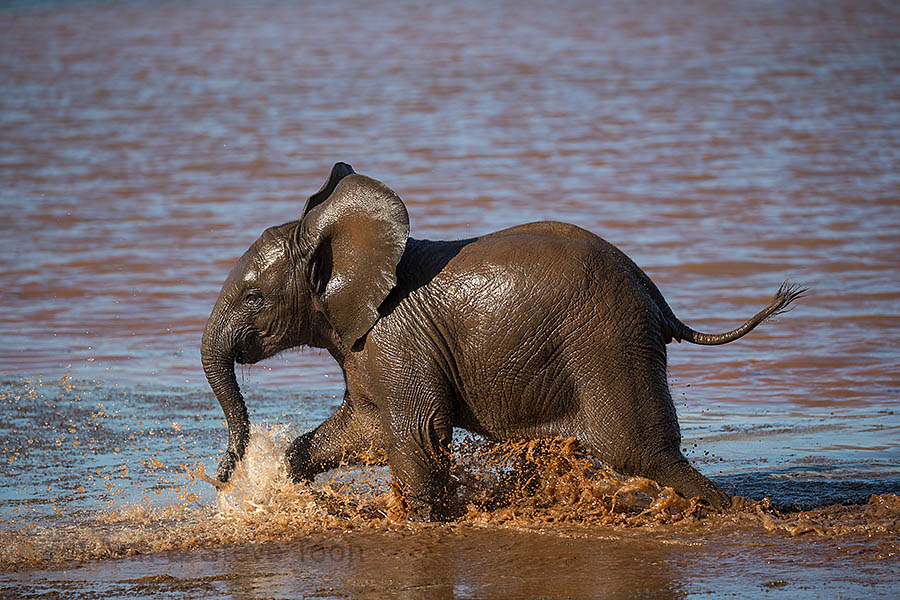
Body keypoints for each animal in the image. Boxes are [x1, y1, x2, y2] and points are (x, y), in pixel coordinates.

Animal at [201, 162, 804, 520]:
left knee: (644, 450)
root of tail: (657, 297)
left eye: (253, 297)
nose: (222, 481)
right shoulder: (365, 346)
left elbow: (416, 432)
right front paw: (293, 482)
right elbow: (364, 428)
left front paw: (424, 523)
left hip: (610, 342)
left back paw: (744, 512)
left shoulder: (397, 339)